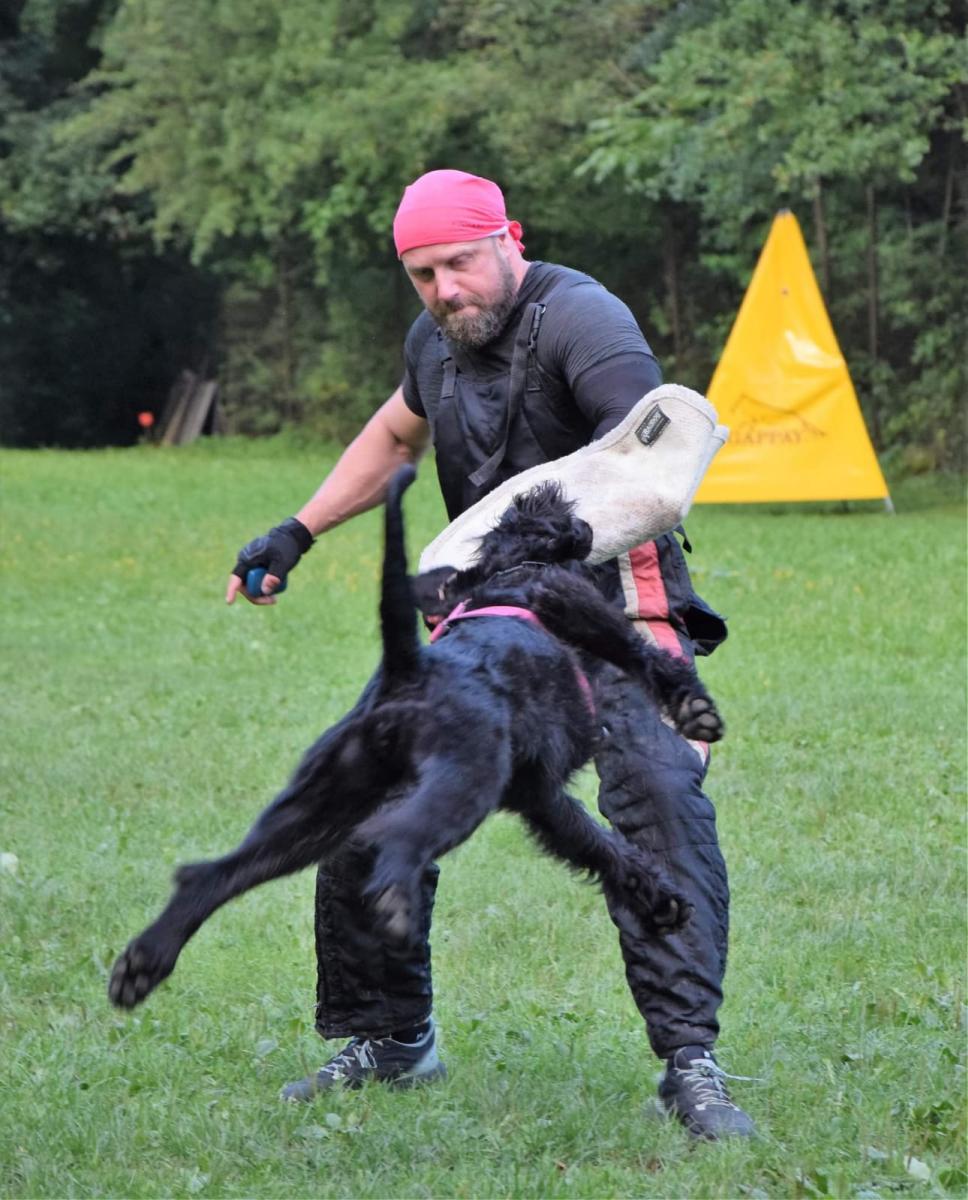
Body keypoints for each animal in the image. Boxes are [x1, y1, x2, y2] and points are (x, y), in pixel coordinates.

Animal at [109, 463, 724, 1008]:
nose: (556, 500)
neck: (504, 572)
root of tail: (407, 674)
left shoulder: (537, 795)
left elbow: (599, 843)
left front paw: (660, 899)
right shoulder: (565, 601)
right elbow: (636, 652)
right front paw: (693, 708)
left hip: (316, 809)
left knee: (215, 873)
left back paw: (143, 963)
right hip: (461, 782)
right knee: (399, 838)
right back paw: (394, 903)